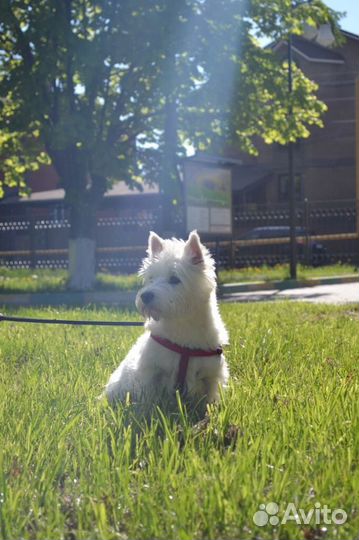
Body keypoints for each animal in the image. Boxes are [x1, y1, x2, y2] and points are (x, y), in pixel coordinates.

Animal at [104, 229, 229, 410]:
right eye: (151, 278)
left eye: (175, 279)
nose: (145, 296)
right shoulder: (150, 372)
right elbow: (147, 401)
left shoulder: (211, 377)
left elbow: (208, 402)